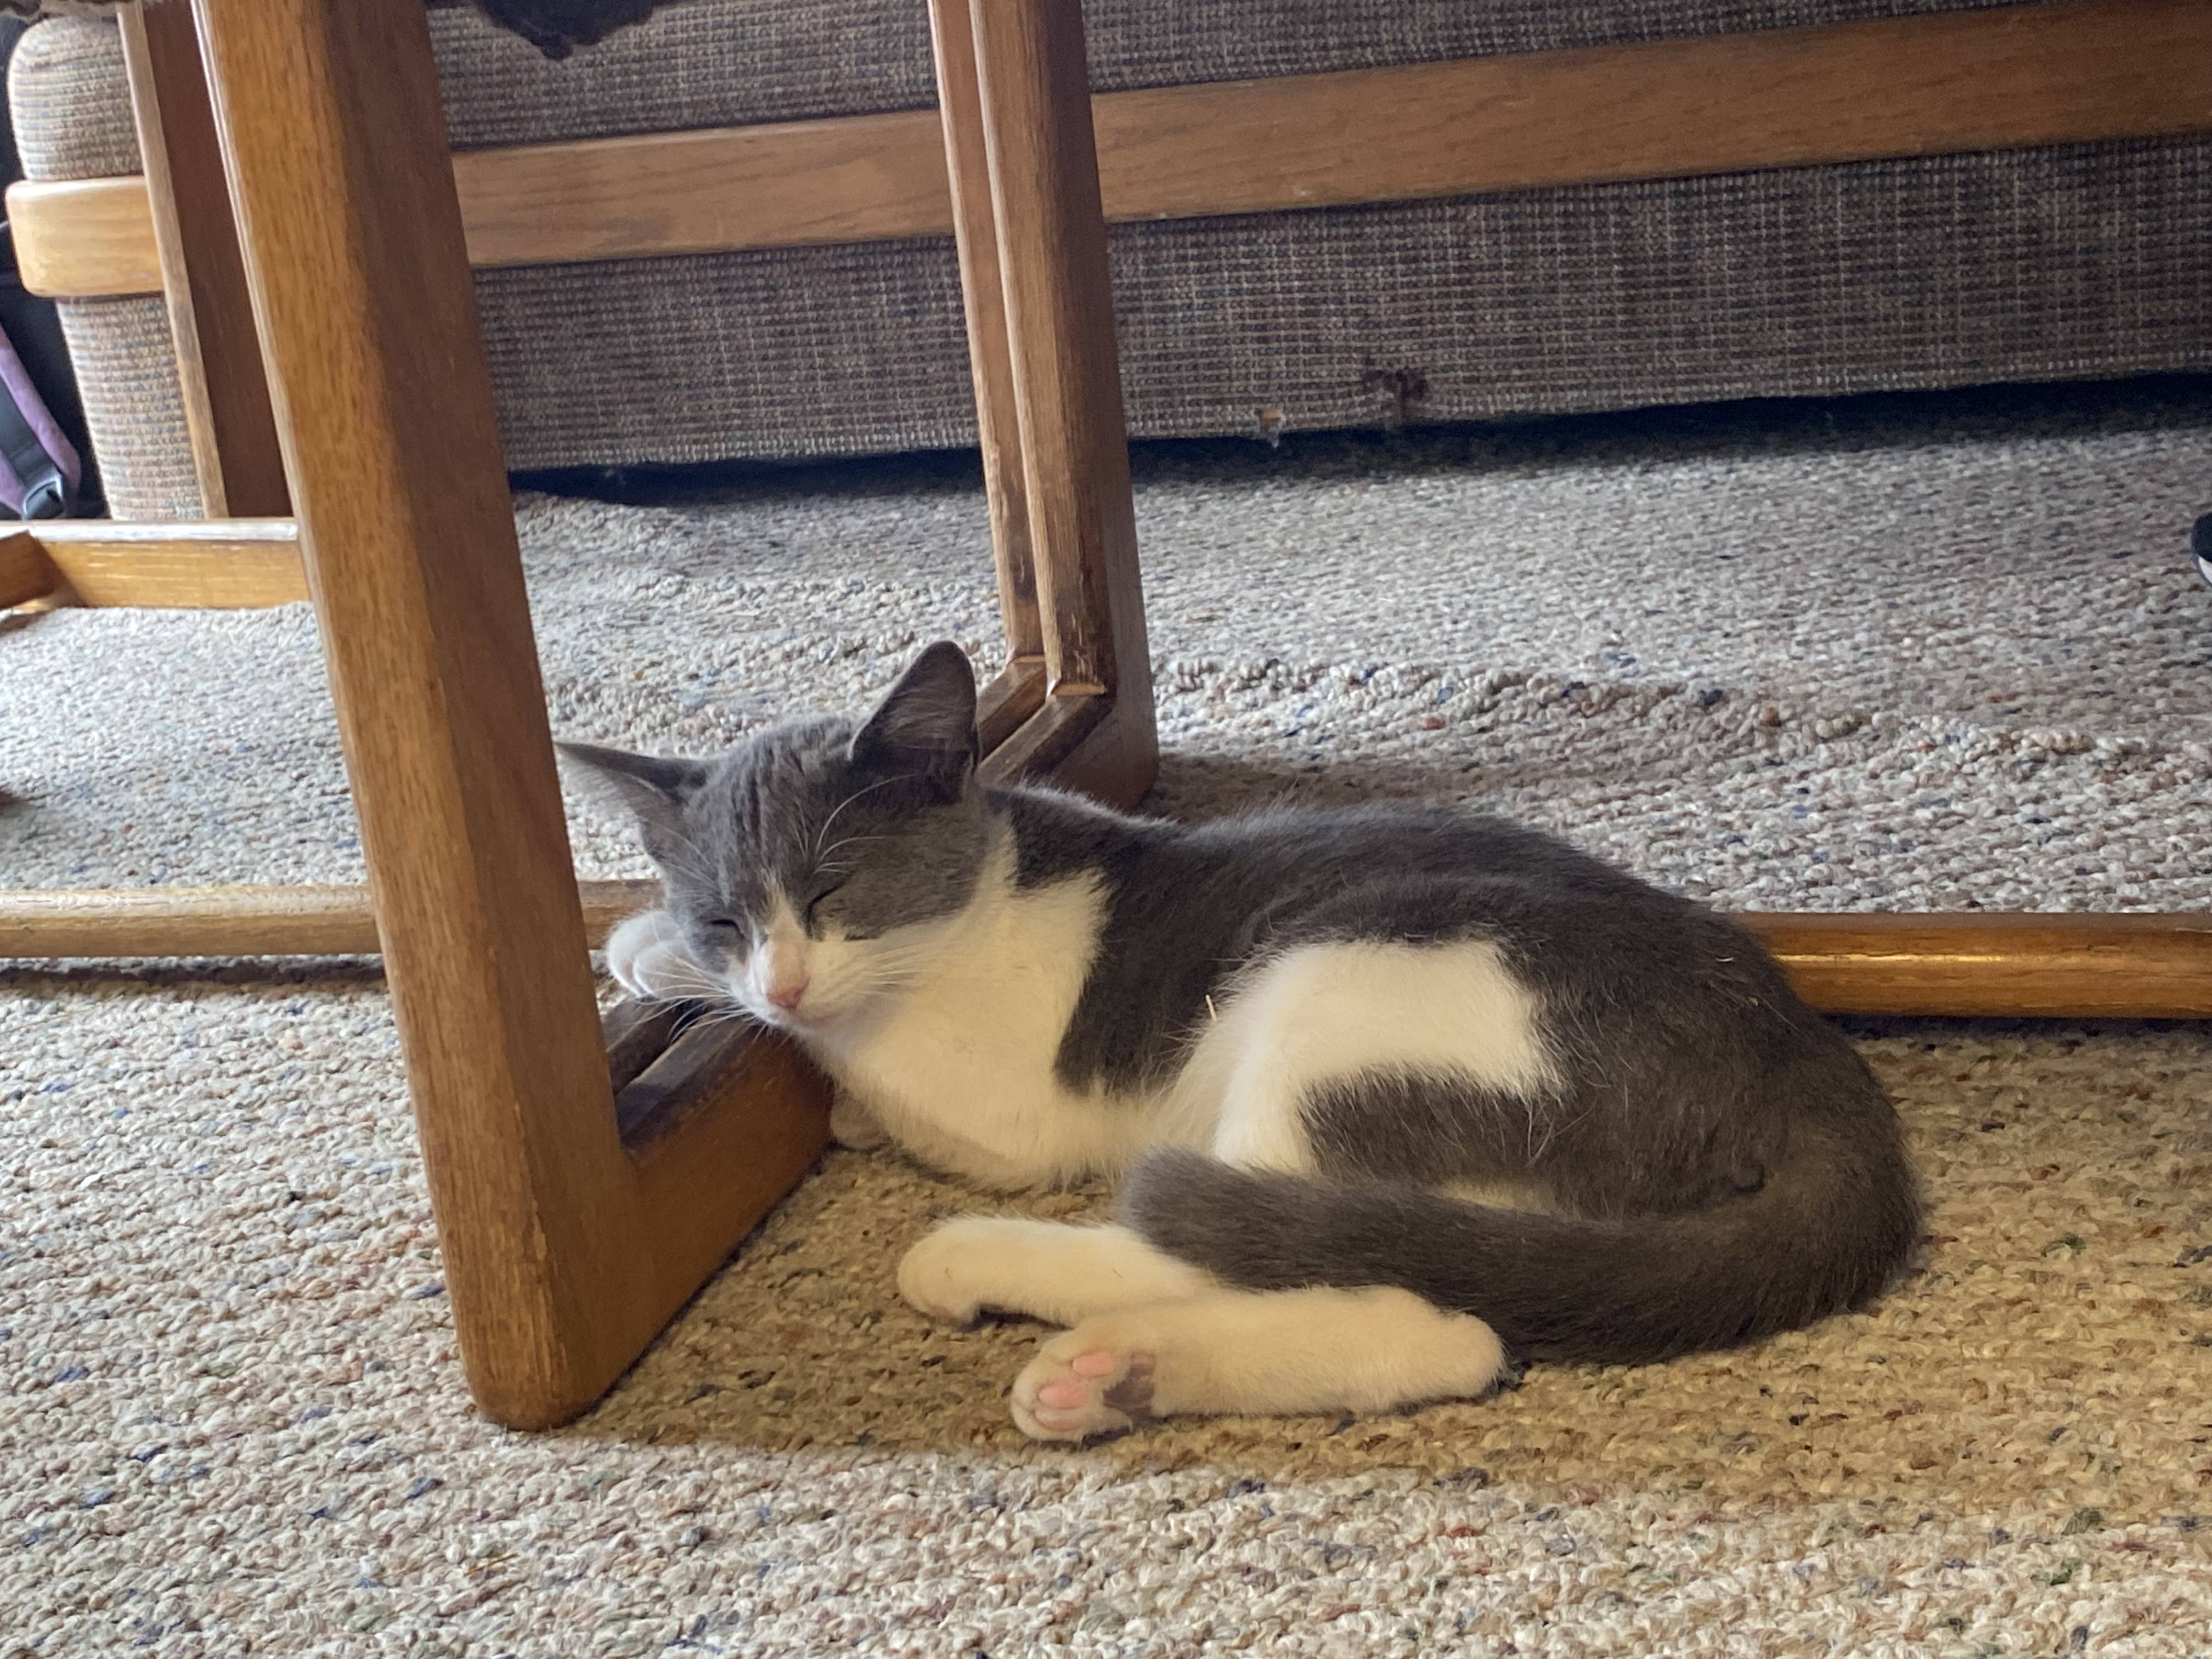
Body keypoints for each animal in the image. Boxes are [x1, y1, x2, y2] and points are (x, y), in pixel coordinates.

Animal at [566, 641, 1920, 1451]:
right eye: (729, 913)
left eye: (836, 891)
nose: (780, 976)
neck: (994, 881)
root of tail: (1793, 1044)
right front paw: (653, 947)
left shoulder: (1006, 1102)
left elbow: (868, 1062)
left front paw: (722, 1003)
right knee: (1436, 1321)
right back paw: (1117, 1379)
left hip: (1344, 984)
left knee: (1307, 1266)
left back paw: (1018, 1291)